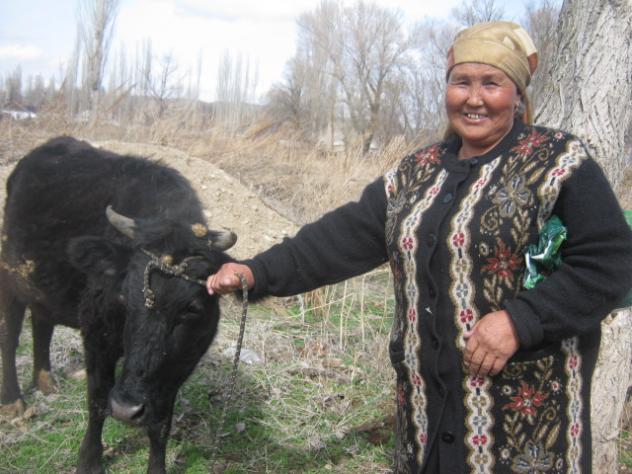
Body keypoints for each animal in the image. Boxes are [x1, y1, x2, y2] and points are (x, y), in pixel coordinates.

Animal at [0, 136, 236, 473]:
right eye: (124, 295)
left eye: (190, 309)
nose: (126, 409)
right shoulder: (97, 339)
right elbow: (98, 400)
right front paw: (89, 461)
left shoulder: (182, 361)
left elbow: (160, 421)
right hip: (10, 278)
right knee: (9, 337)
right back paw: (13, 402)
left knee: (42, 322)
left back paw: (45, 380)